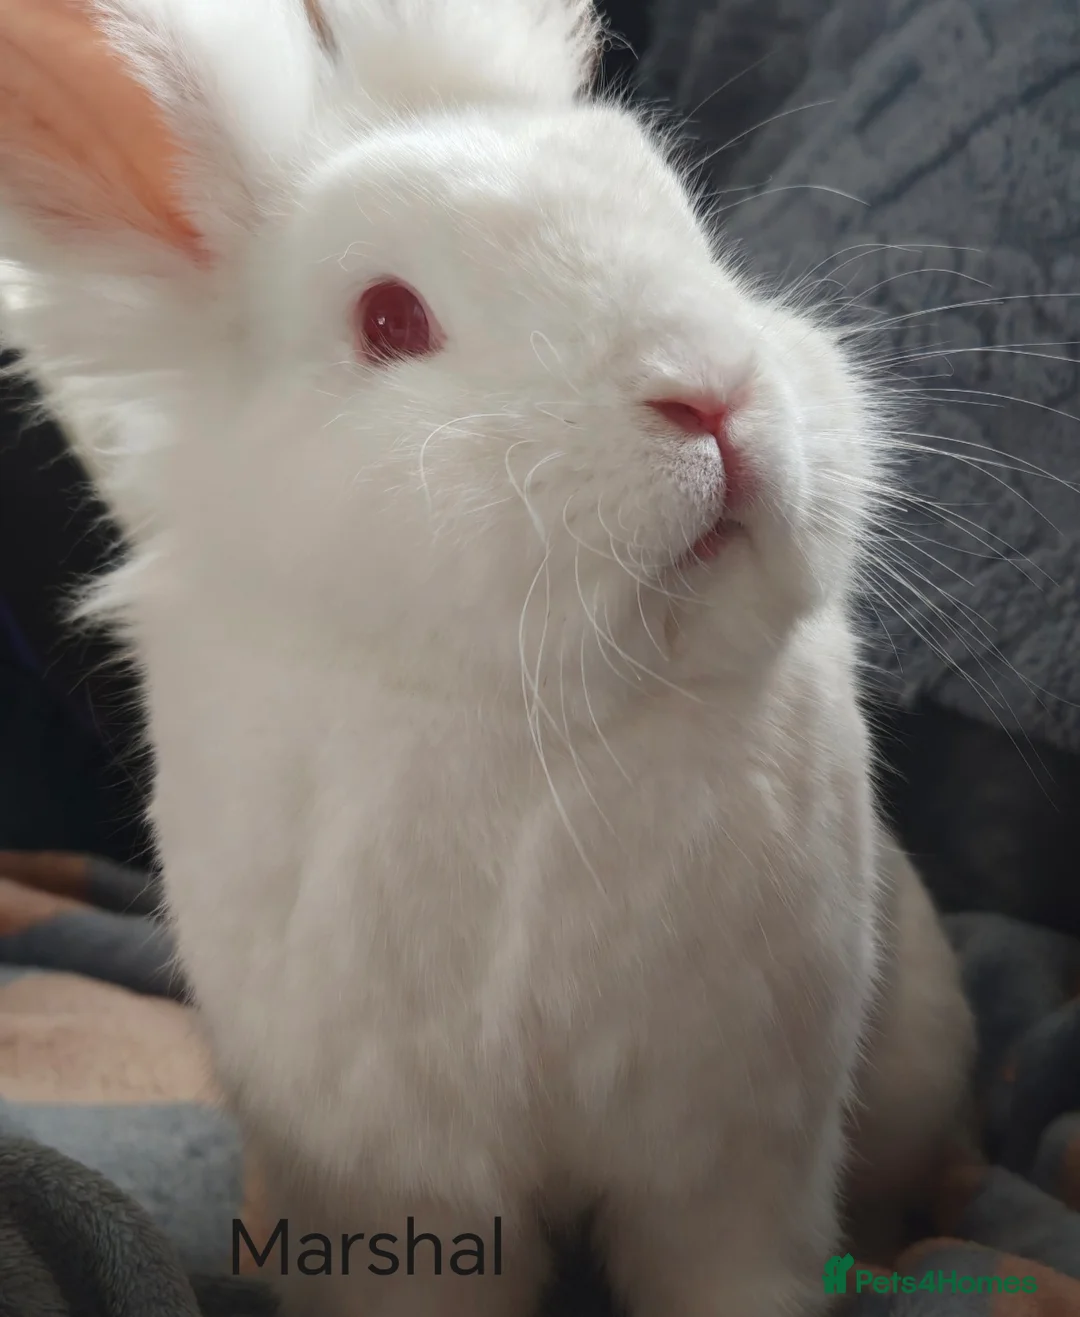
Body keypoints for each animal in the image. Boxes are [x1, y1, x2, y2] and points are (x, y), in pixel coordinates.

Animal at [0, 1, 973, 1313]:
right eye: (389, 319)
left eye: (681, 221)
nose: (709, 394)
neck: (538, 717)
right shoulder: (397, 1181)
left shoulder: (736, 1149)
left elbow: (734, 1268)